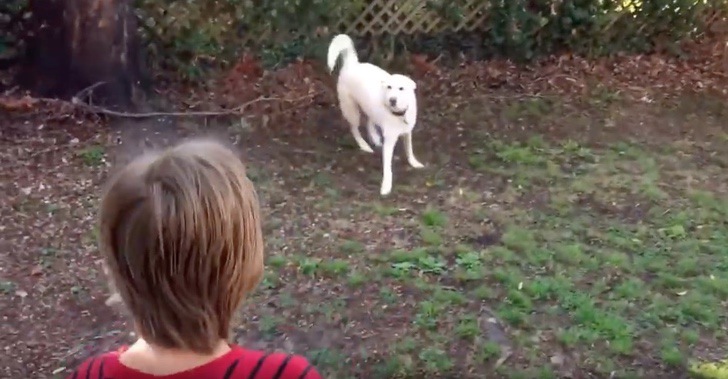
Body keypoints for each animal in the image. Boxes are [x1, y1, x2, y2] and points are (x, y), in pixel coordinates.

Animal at [328, 33, 424, 196]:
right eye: (389, 87)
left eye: (401, 88)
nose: (392, 100)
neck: (398, 114)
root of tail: (352, 64)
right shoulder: (390, 141)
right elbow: (388, 167)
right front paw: (386, 185)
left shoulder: (407, 132)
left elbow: (409, 149)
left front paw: (414, 163)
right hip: (352, 111)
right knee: (355, 128)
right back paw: (364, 145)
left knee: (369, 121)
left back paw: (375, 138)